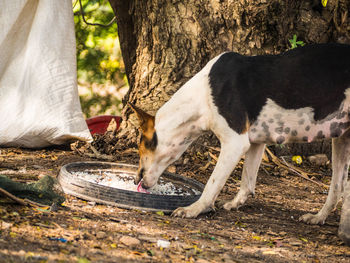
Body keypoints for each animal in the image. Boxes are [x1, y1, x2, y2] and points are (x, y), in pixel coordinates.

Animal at [129, 42, 350, 243]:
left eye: (141, 148)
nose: (135, 180)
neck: (202, 97)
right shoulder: (256, 143)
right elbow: (247, 182)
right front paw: (235, 203)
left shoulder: (234, 144)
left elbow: (212, 184)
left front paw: (194, 209)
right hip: (341, 139)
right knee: (337, 186)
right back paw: (318, 217)